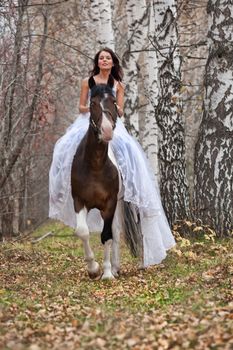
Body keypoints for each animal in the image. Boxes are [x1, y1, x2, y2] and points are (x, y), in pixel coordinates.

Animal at [71, 84, 141, 278]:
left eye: (114, 102)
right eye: (92, 103)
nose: (107, 130)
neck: (95, 166)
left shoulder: (109, 203)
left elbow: (107, 236)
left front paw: (107, 273)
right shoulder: (79, 200)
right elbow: (83, 231)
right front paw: (93, 269)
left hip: (117, 203)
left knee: (115, 232)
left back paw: (115, 268)